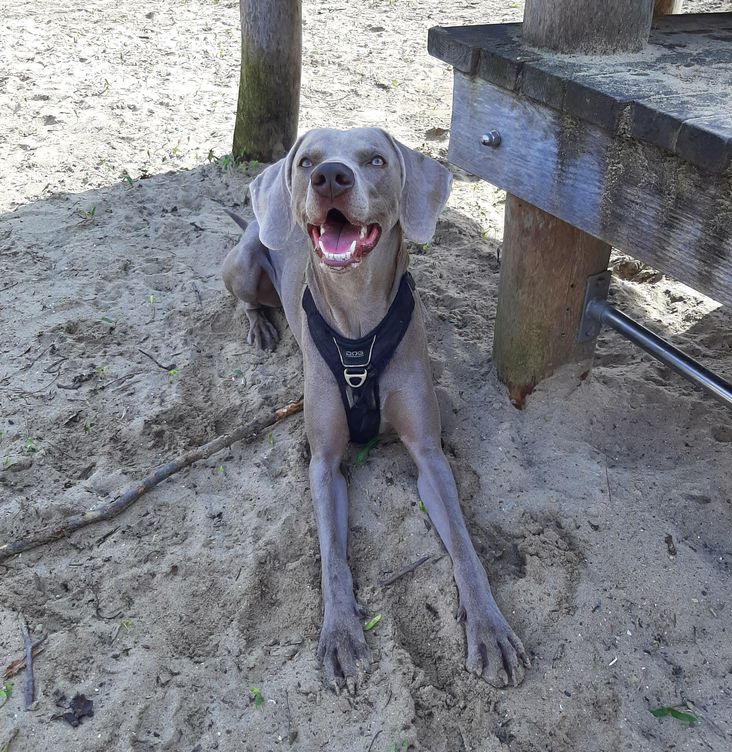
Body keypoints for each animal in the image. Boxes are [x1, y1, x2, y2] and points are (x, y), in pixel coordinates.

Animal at [220, 126, 528, 692]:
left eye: (376, 160)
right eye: (307, 162)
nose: (330, 177)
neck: (359, 320)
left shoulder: (429, 455)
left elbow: (466, 549)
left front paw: (491, 629)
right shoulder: (323, 463)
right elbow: (332, 558)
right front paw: (341, 633)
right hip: (245, 264)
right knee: (248, 297)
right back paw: (260, 327)